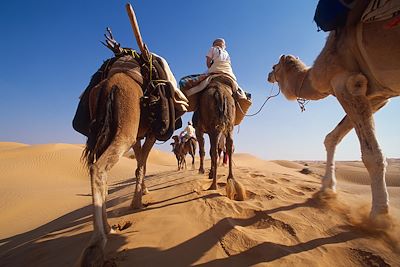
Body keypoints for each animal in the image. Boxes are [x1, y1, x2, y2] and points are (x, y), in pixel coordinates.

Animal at [266, 0, 400, 220]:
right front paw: (327, 189)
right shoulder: (378, 95)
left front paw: (379, 215)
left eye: (274, 66)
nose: (268, 75)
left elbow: (371, 154)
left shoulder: (347, 82)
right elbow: (332, 137)